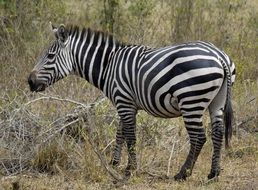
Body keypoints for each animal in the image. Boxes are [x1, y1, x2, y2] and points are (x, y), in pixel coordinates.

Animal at [28, 24, 236, 181]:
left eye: (50, 56)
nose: (29, 82)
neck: (108, 65)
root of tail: (219, 56)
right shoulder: (125, 104)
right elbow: (120, 133)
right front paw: (114, 162)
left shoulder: (124, 102)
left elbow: (130, 136)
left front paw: (130, 169)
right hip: (216, 101)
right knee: (217, 133)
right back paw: (213, 174)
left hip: (191, 100)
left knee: (199, 137)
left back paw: (183, 173)